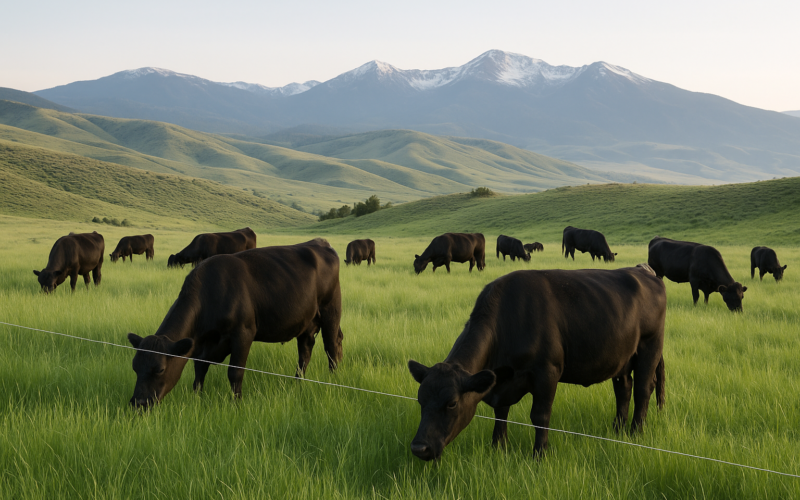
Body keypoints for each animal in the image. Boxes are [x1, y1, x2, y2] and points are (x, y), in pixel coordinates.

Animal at [127, 238, 343, 408]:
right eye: (135, 367)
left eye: (160, 370)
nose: (139, 403)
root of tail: (321, 243)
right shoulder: (201, 346)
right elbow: (199, 370)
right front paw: (197, 398)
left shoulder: (243, 333)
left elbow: (235, 372)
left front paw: (236, 404)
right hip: (306, 323)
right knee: (305, 353)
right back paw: (298, 384)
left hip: (331, 310)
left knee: (331, 347)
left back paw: (333, 381)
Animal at [408, 264, 666, 460]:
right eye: (420, 400)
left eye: (452, 403)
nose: (419, 448)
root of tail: (643, 270)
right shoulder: (501, 381)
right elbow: (501, 412)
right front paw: (498, 447)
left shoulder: (547, 372)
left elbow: (540, 417)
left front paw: (540, 454)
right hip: (621, 356)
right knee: (624, 388)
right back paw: (617, 429)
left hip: (650, 346)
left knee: (643, 389)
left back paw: (635, 432)